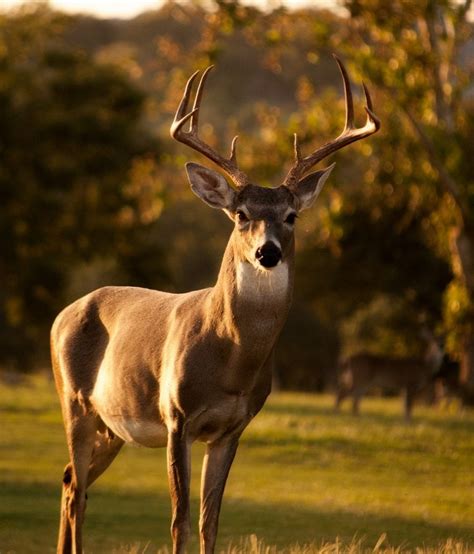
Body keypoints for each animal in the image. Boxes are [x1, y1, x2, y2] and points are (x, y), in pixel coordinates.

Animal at [51, 57, 378, 552]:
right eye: (241, 214)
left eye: (291, 216)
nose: (267, 252)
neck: (230, 360)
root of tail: (62, 315)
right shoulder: (176, 417)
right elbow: (179, 520)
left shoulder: (232, 428)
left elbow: (210, 521)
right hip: (74, 401)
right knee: (76, 488)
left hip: (112, 425)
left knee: (72, 480)